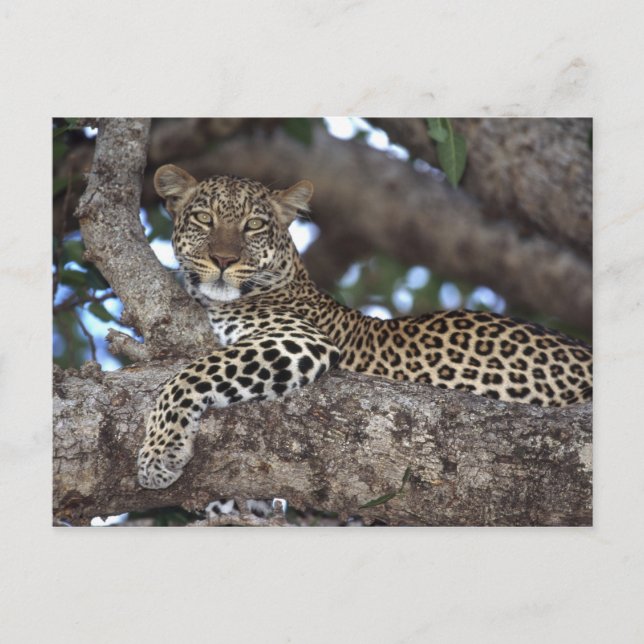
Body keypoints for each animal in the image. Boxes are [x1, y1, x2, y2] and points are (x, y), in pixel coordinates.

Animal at [137, 164, 592, 490]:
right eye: (202, 218)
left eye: (253, 225)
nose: (223, 260)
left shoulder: (299, 340)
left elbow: (190, 374)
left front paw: (158, 455)